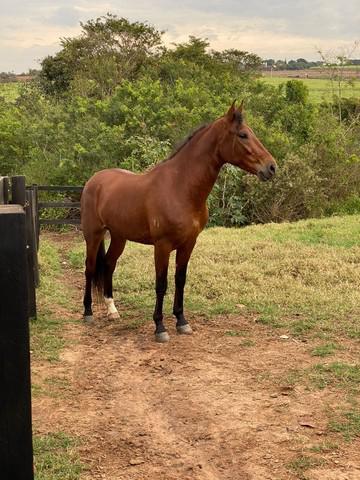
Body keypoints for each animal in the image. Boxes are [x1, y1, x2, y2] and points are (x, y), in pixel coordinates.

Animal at [81, 101, 276, 342]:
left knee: (109, 264)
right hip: (93, 235)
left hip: (119, 236)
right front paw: (160, 327)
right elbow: (161, 284)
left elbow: (180, 280)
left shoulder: (189, 243)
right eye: (243, 135)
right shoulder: (162, 246)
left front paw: (182, 321)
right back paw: (88, 313)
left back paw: (112, 310)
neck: (180, 187)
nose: (271, 167)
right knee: (89, 268)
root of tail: (94, 180)